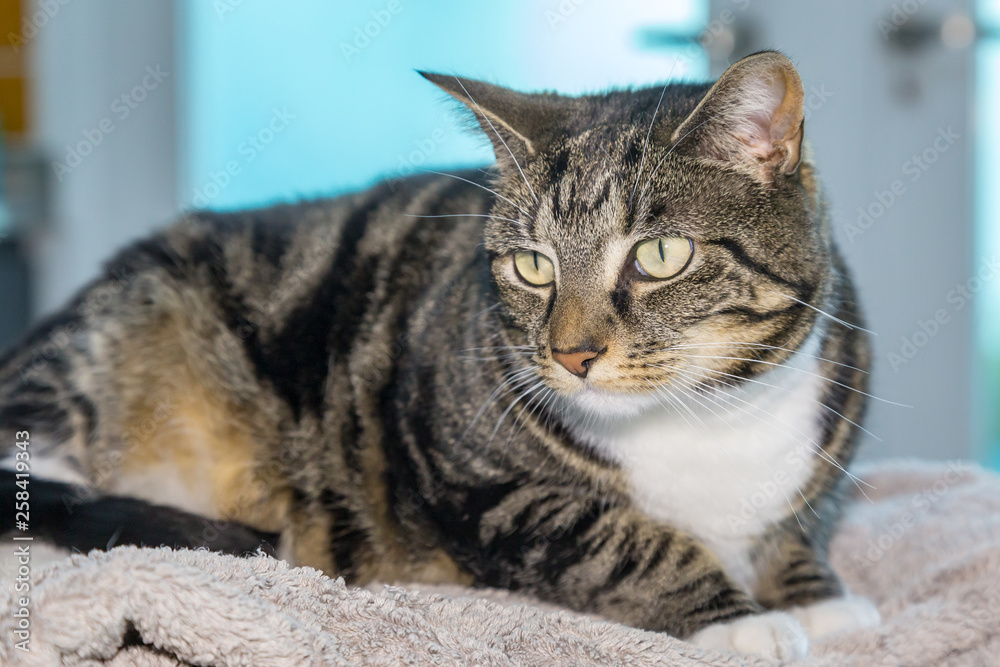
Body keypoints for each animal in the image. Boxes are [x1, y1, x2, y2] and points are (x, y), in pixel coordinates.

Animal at [1, 51, 876, 656]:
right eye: (532, 265)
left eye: (661, 255)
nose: (573, 354)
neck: (701, 413)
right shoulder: (484, 488)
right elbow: (623, 544)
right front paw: (739, 622)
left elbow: (799, 523)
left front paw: (816, 599)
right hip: (118, 334)